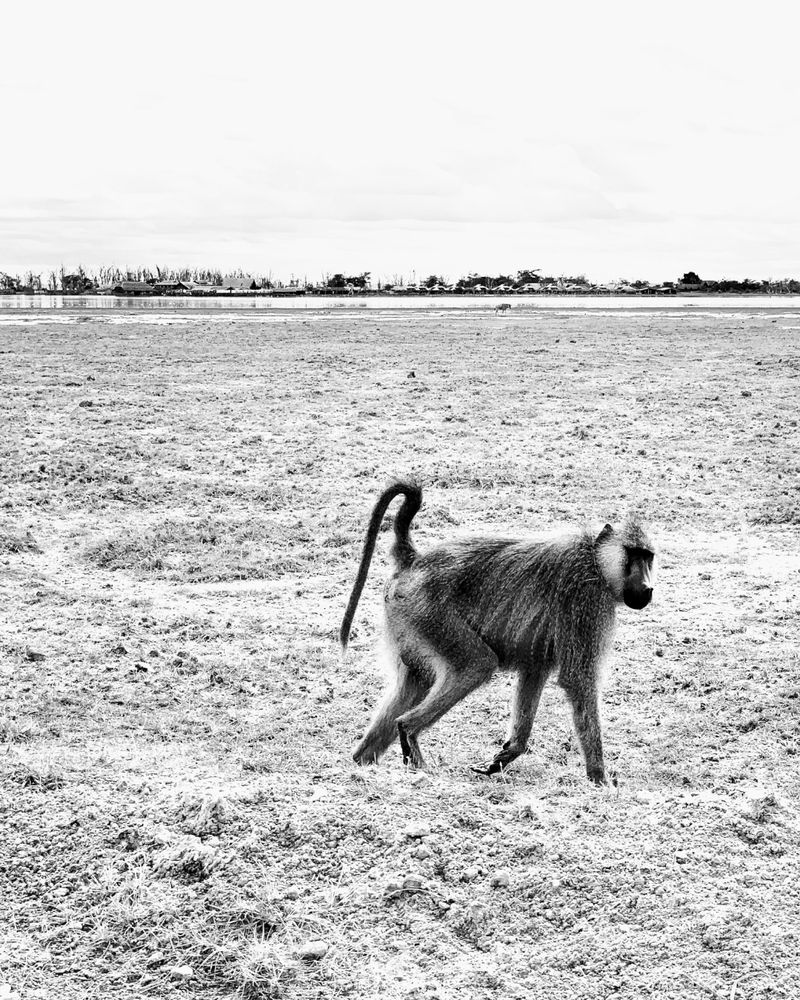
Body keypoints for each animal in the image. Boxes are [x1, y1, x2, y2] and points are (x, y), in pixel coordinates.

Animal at [340, 478, 655, 784]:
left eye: (648, 557)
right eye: (633, 555)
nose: (648, 588)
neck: (595, 560)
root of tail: (414, 560)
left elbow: (534, 671)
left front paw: (509, 752)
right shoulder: (584, 599)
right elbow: (578, 679)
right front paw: (599, 779)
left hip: (409, 622)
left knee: (413, 684)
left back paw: (363, 763)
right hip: (430, 613)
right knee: (476, 665)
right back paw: (409, 734)